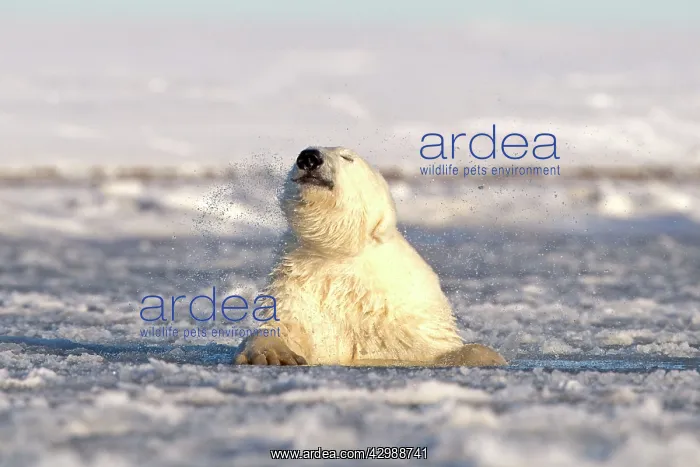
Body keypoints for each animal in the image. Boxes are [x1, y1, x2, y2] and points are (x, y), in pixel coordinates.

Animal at [233, 146, 506, 367]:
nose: (309, 157)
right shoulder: (300, 285)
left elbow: (432, 348)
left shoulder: (406, 311)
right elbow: (289, 327)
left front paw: (484, 356)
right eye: (304, 154)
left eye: (347, 157)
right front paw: (273, 354)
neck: (342, 253)